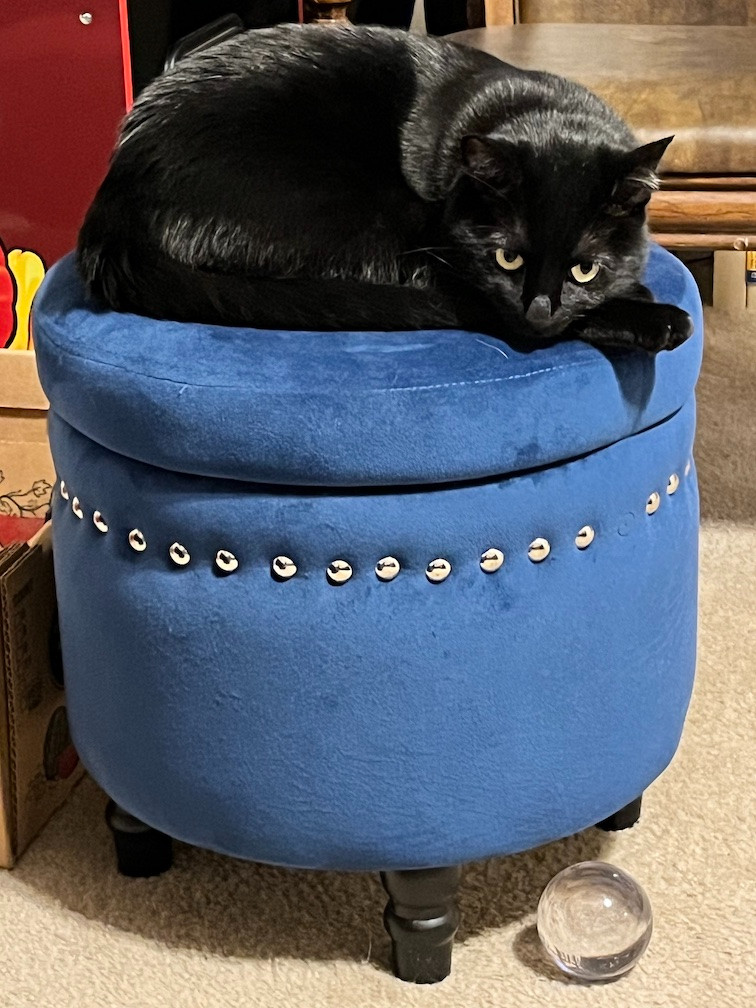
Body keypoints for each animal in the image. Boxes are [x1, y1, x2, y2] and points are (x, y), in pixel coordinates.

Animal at [77, 24, 693, 354]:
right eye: (508, 259)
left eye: (584, 268)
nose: (540, 311)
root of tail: (114, 199)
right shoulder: (436, 258)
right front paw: (653, 313)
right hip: (368, 219)